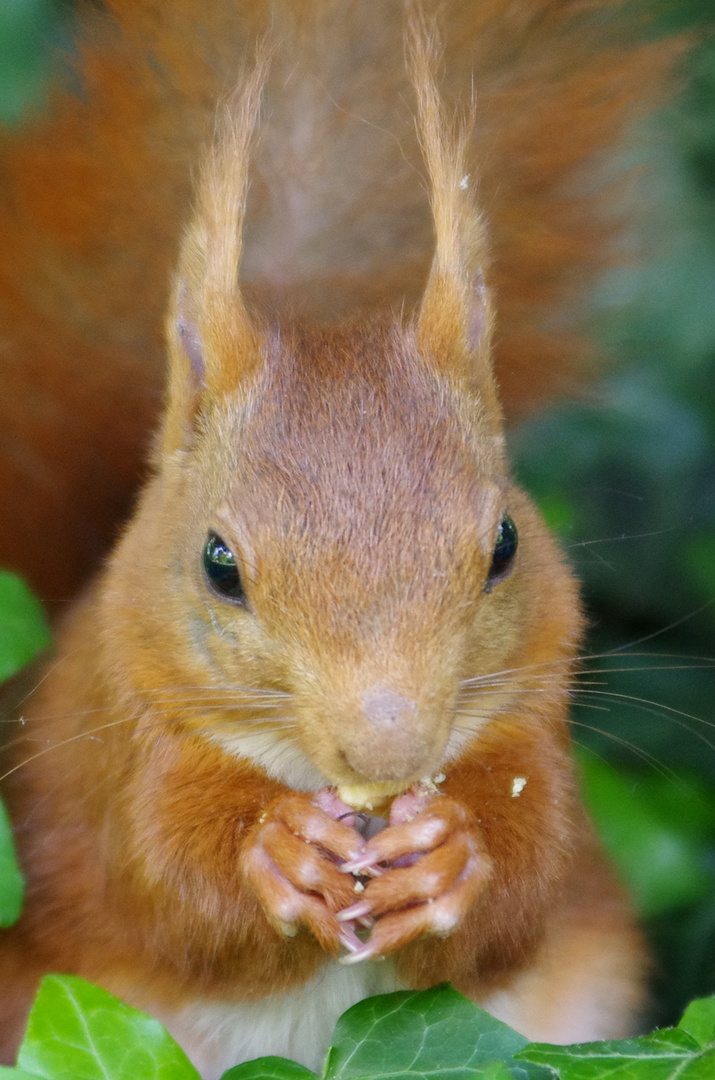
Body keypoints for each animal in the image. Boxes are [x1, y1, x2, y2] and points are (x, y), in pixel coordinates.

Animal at [0, 2, 678, 1080]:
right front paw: (272, 849)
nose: (389, 746)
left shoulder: (534, 719)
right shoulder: (105, 741)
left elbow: (532, 874)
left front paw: (450, 854)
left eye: (504, 545)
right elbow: (160, 877)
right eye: (218, 565)